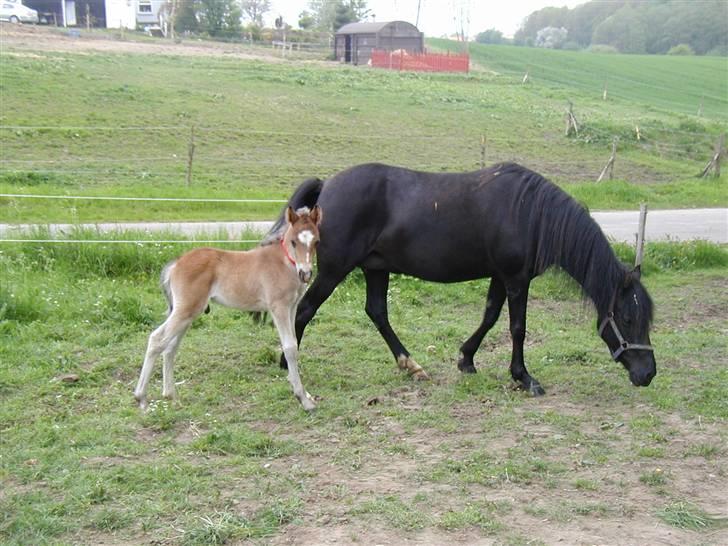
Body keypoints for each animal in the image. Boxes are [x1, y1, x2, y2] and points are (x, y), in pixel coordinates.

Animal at [264, 160, 656, 392]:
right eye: (627, 317)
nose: (648, 373)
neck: (532, 214)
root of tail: (327, 187)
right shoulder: (516, 278)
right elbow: (517, 327)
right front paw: (524, 377)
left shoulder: (501, 276)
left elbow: (490, 316)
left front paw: (466, 359)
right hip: (334, 270)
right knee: (305, 310)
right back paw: (287, 362)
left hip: (376, 268)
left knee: (376, 312)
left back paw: (411, 364)